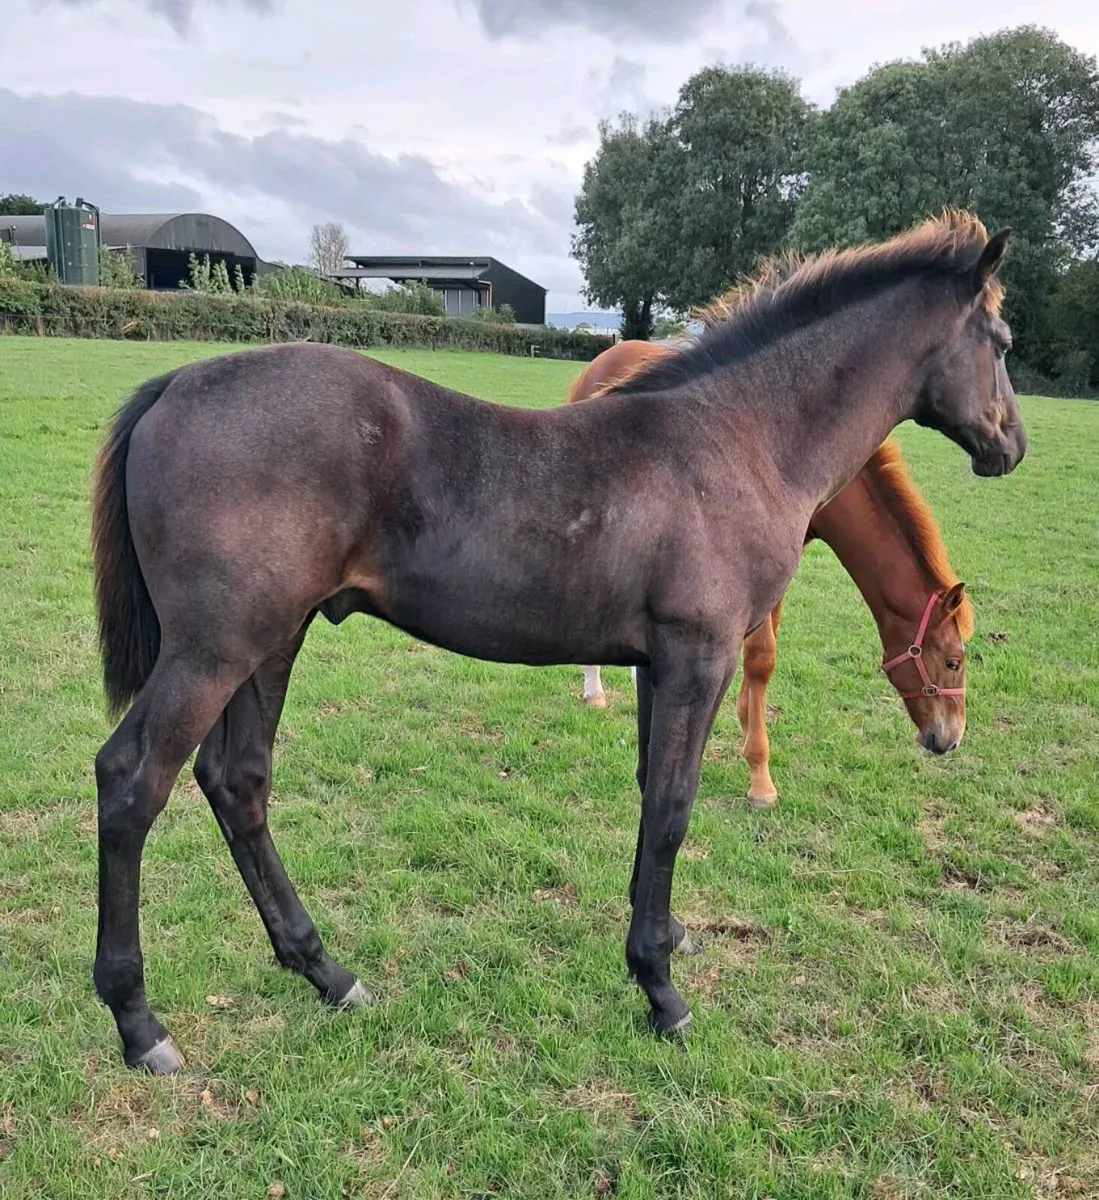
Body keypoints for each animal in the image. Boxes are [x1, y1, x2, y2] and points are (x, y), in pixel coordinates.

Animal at [569, 340, 974, 809]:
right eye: (952, 661)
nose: (951, 738)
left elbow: (763, 659)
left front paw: (748, 725)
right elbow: (761, 657)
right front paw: (760, 775)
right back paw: (594, 691)